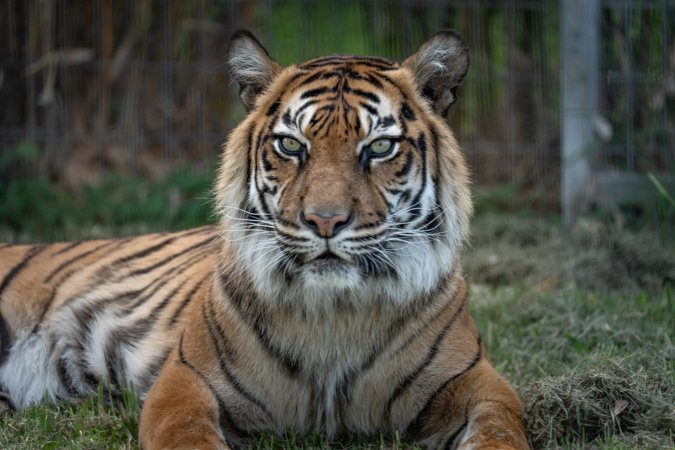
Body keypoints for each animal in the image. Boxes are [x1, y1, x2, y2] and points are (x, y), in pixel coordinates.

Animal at [0, 30, 529, 449]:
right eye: (291, 145)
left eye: (379, 146)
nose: (324, 221)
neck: (337, 315)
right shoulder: (184, 381)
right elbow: (187, 436)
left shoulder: (476, 380)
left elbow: (501, 428)